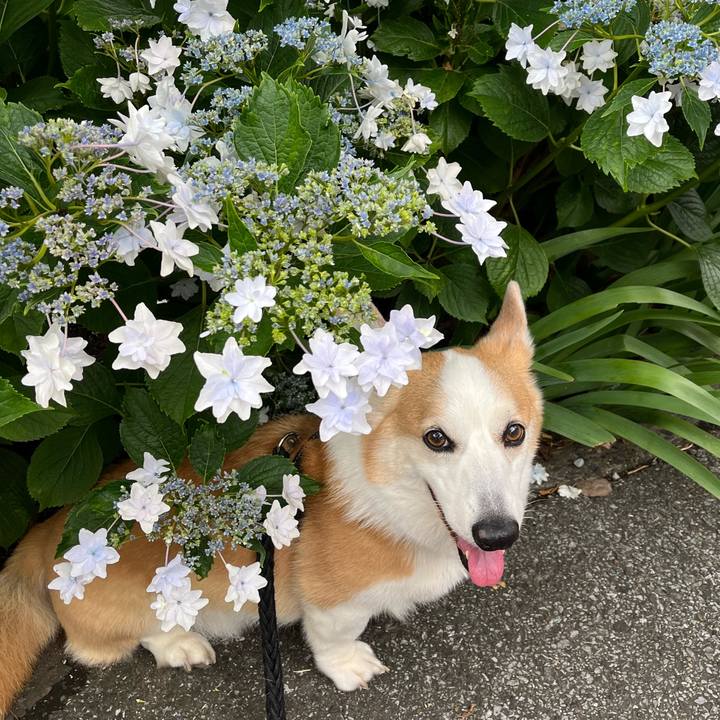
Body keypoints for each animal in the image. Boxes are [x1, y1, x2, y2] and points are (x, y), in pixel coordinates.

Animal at [0, 281, 542, 713]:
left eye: (513, 432)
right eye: (436, 439)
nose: (497, 536)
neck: (391, 497)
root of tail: (47, 533)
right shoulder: (334, 601)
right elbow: (335, 634)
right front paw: (348, 666)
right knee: (120, 639)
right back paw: (181, 645)